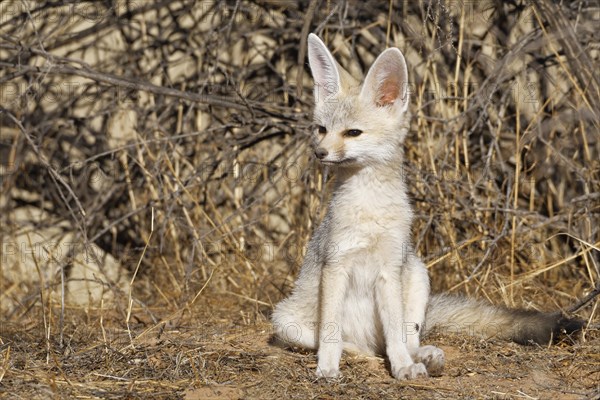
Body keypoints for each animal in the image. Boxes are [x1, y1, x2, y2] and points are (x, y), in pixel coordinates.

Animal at [270, 32, 580, 380]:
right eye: (321, 129)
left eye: (353, 132)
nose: (319, 153)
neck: (370, 211)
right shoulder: (336, 265)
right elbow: (330, 333)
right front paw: (326, 368)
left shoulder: (390, 269)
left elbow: (396, 335)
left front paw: (403, 367)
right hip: (284, 320)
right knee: (348, 344)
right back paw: (355, 353)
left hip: (417, 273)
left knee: (403, 339)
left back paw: (419, 357)